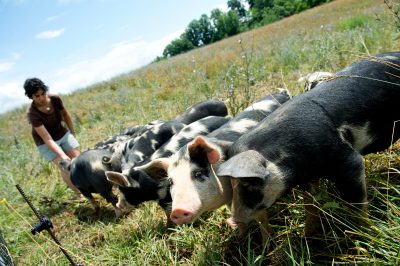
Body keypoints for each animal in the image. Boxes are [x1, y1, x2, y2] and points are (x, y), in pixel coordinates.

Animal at [216, 52, 400, 239]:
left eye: (248, 183)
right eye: (231, 184)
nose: (232, 221)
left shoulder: (347, 161)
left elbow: (356, 203)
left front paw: (365, 234)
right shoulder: (307, 178)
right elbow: (309, 203)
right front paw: (307, 234)